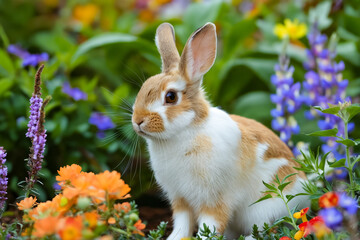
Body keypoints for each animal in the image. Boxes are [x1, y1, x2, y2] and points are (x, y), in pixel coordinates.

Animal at [131, 21, 308, 239]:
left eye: (171, 97)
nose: (138, 121)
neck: (184, 132)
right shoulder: (181, 199)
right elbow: (182, 223)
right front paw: (174, 237)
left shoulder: (215, 199)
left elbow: (210, 225)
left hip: (266, 206)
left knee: (268, 229)